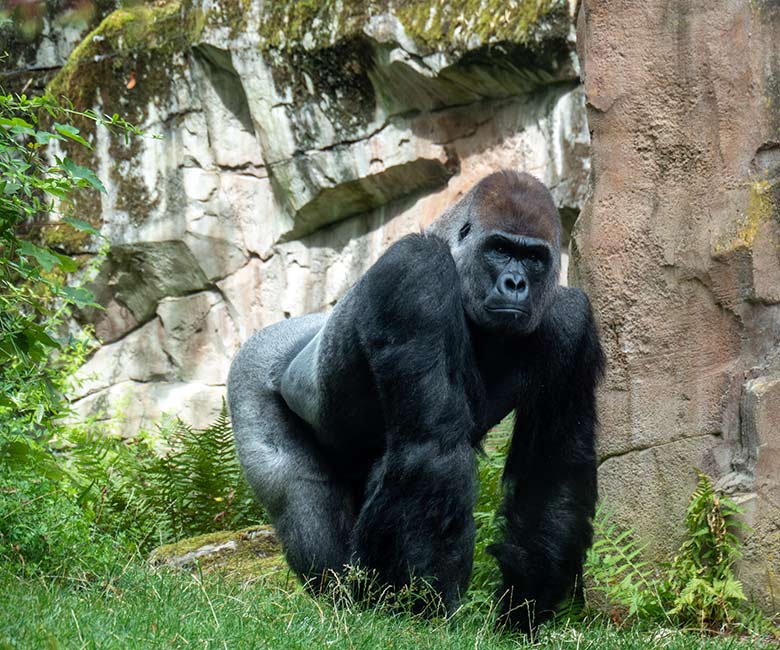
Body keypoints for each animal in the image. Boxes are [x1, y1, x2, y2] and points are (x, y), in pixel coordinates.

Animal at [225, 170, 604, 632]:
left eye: (533, 258)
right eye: (499, 249)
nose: (515, 284)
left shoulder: (571, 320)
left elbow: (552, 468)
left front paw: (522, 608)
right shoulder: (416, 272)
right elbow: (432, 449)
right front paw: (425, 610)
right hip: (251, 371)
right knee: (298, 494)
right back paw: (343, 600)